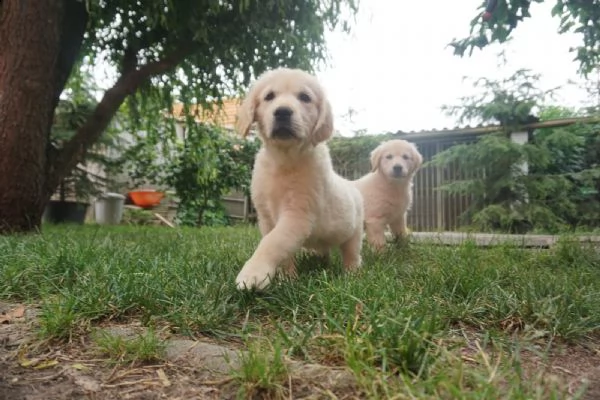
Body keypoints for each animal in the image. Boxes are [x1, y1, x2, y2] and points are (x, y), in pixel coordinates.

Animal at [234, 67, 366, 290]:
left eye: (304, 97)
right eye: (269, 96)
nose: (282, 112)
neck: (284, 159)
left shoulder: (298, 215)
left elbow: (272, 242)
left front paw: (253, 273)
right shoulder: (266, 217)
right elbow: (279, 249)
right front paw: (287, 277)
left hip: (353, 231)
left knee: (352, 252)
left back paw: (352, 274)